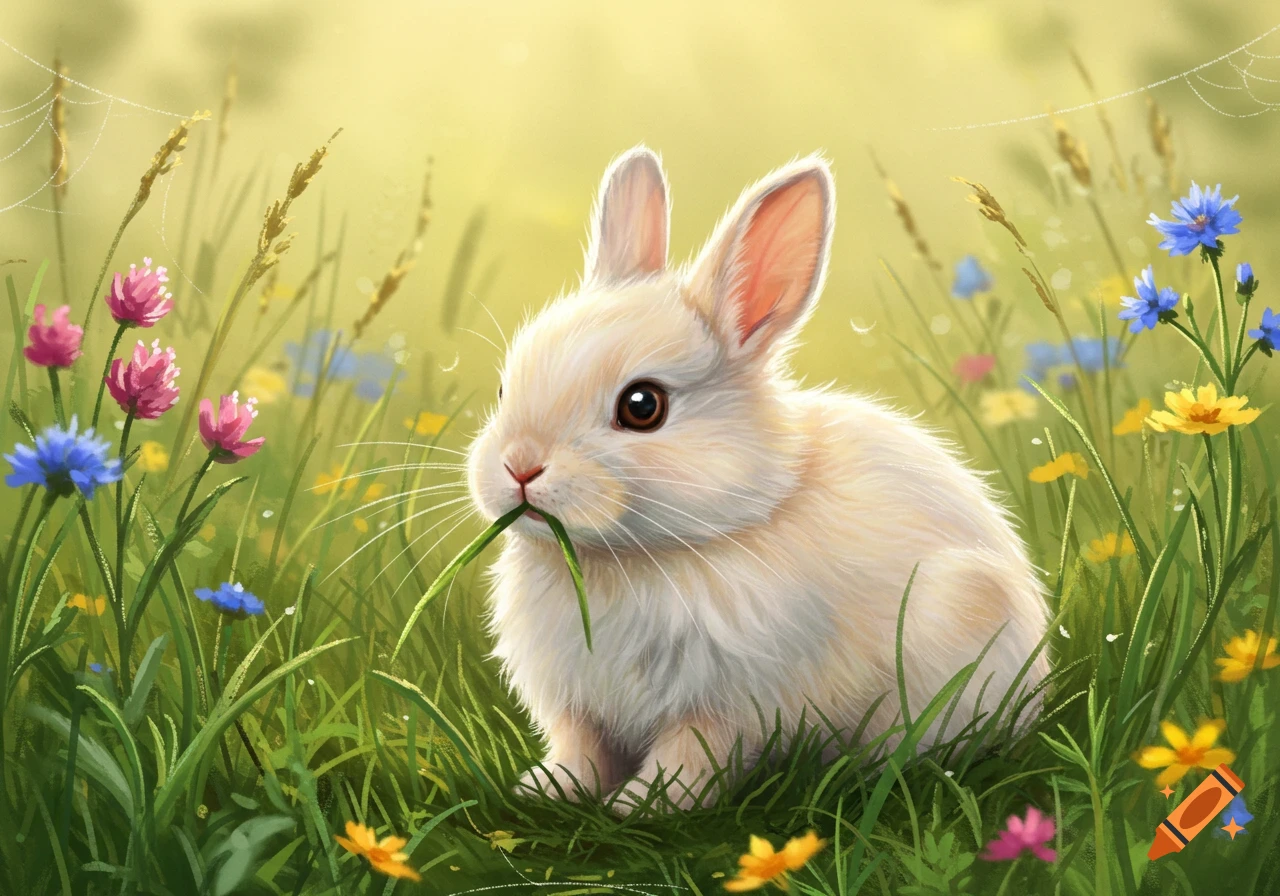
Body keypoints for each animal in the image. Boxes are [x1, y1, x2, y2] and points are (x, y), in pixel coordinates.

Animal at [466, 146, 1049, 813]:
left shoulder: (728, 706)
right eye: (505, 388)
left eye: (643, 406)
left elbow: (689, 756)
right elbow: (581, 748)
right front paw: (545, 791)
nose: (520, 466)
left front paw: (642, 807)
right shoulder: (578, 703)